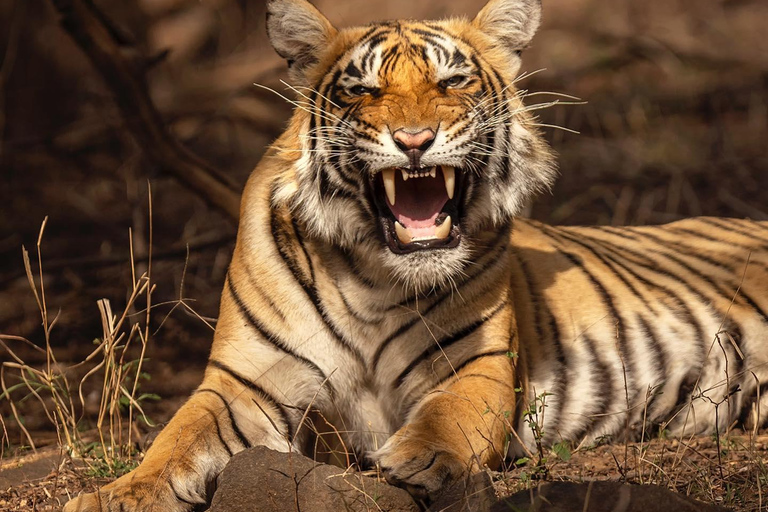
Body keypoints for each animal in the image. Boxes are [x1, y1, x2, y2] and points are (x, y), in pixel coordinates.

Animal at [64, 0, 768, 510]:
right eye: (362, 91)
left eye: (452, 80)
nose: (413, 139)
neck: (372, 277)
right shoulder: (243, 384)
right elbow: (173, 441)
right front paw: (115, 496)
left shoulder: (478, 368)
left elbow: (447, 419)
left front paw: (415, 461)